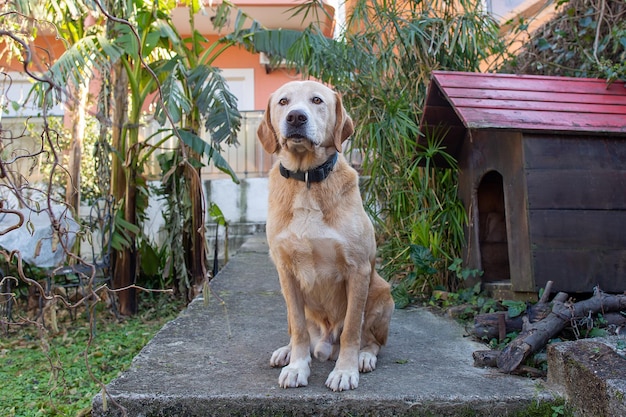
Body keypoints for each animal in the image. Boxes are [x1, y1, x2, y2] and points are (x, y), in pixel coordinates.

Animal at [256, 80, 392, 390]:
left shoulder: (358, 269)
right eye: (283, 101)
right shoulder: (285, 272)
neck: (306, 180)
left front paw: (345, 371)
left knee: (372, 340)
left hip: (382, 292)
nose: (296, 117)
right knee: (298, 330)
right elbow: (298, 329)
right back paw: (287, 352)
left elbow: (352, 329)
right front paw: (297, 366)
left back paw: (364, 356)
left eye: (317, 100)